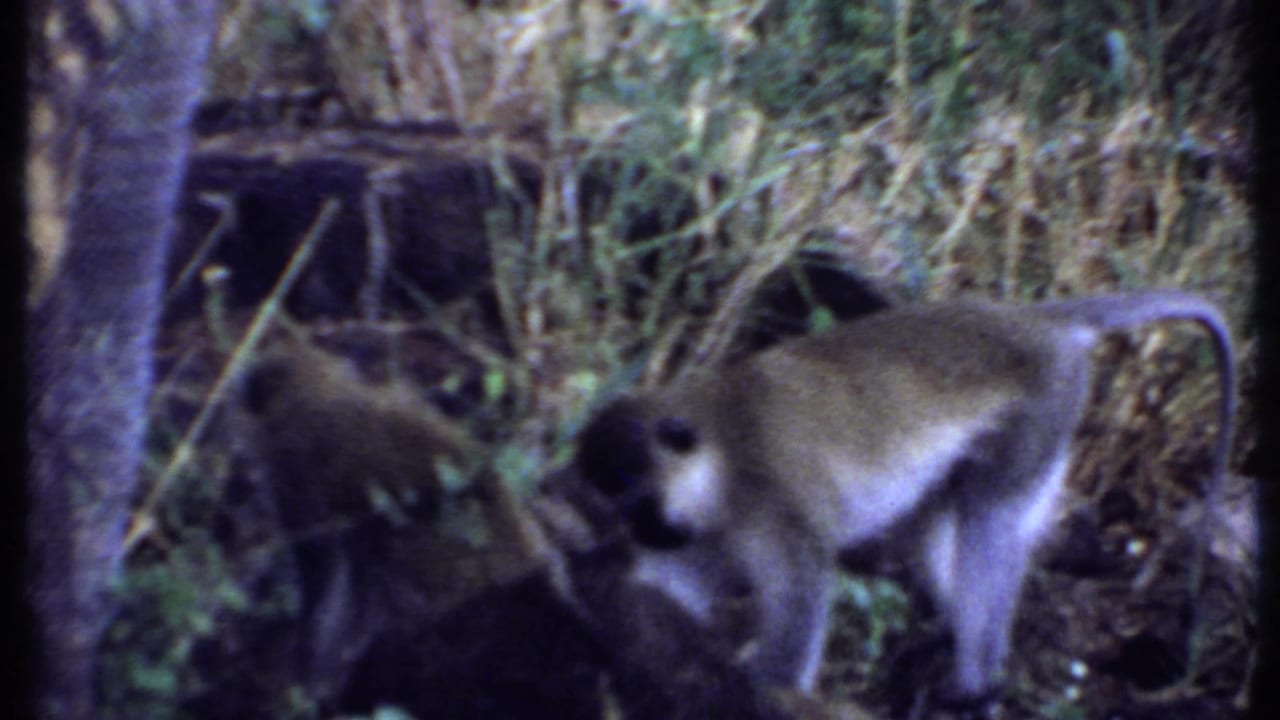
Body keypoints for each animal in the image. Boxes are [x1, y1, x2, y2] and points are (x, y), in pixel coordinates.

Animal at [575, 290, 1234, 702]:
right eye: (617, 508)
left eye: (638, 502)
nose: (640, 531)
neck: (718, 464)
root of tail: (1034, 323)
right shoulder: (703, 535)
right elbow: (666, 595)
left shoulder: (773, 502)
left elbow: (800, 598)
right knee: (932, 524)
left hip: (1045, 411)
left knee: (991, 520)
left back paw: (976, 680)